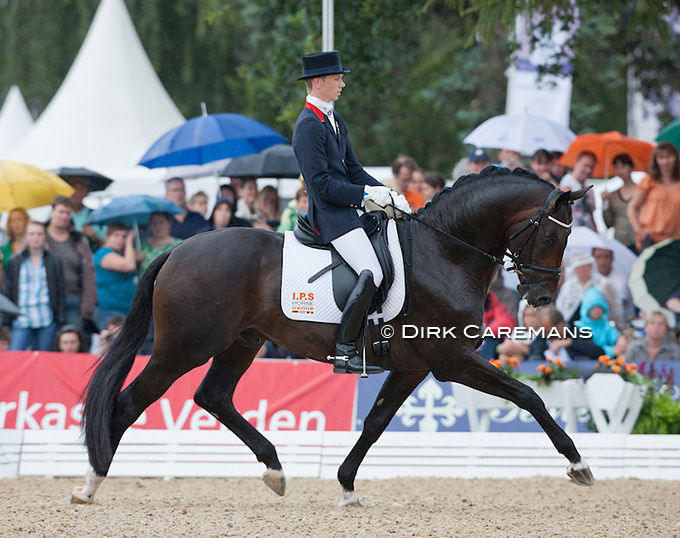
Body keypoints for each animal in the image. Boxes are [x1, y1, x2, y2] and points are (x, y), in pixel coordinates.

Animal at [74, 166, 592, 502]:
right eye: (553, 235)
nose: (542, 297)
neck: (446, 252)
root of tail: (178, 250)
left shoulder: (412, 367)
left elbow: (376, 422)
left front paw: (345, 485)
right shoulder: (451, 360)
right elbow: (528, 395)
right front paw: (578, 464)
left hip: (242, 341)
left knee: (213, 396)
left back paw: (275, 469)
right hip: (183, 348)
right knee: (128, 403)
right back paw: (90, 484)